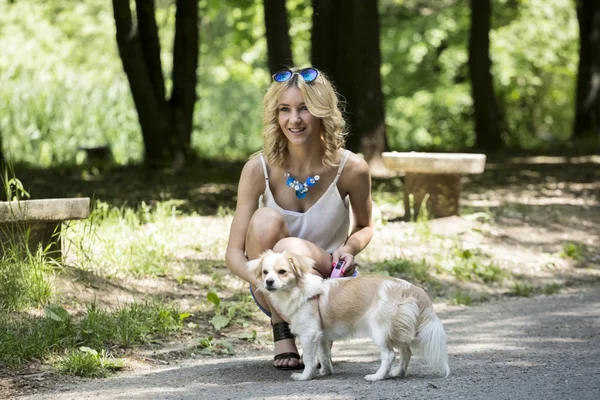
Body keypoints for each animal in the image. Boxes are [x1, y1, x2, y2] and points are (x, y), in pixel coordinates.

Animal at [248, 250, 450, 382]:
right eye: (265, 272)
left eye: (282, 272)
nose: (268, 282)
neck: (298, 291)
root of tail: (411, 288)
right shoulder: (321, 336)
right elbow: (324, 355)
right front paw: (326, 372)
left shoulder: (309, 334)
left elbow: (309, 359)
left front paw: (305, 376)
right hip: (397, 330)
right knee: (406, 353)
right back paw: (397, 373)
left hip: (380, 330)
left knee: (389, 355)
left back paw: (377, 376)